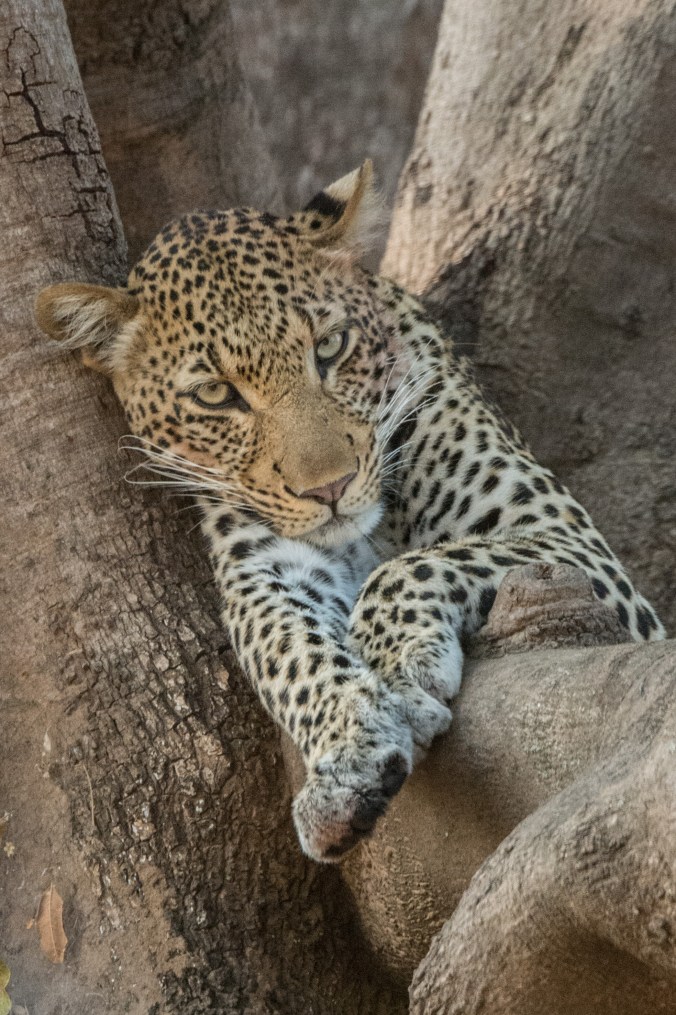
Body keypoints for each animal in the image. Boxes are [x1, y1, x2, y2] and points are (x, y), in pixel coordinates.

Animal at [36, 160, 665, 863]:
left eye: (332, 347)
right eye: (217, 395)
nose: (329, 488)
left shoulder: (566, 539)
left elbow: (407, 568)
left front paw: (396, 665)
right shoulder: (266, 564)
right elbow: (285, 649)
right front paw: (350, 754)